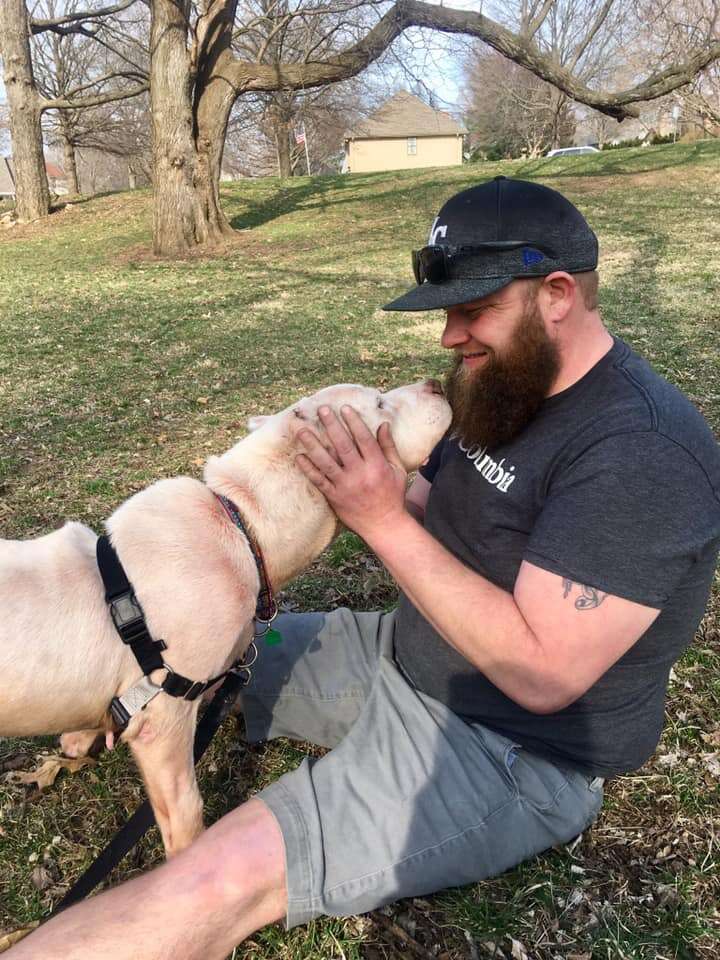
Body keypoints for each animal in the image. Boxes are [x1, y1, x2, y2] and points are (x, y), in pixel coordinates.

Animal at [1, 382, 450, 856]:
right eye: (380, 403)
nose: (436, 384)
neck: (243, 526)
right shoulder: (163, 718)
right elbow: (185, 811)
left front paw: (76, 742)